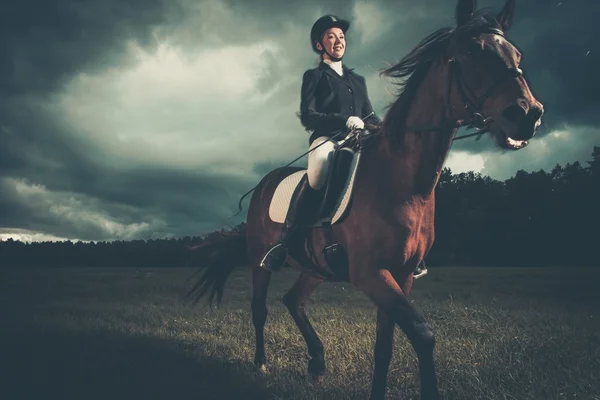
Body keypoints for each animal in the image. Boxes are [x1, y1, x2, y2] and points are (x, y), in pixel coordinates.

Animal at [186, 1, 544, 398]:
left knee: (293, 300)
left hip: (316, 266)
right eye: (470, 52)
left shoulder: (400, 274)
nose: (528, 114)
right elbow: (423, 334)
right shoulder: (372, 273)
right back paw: (262, 363)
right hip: (259, 260)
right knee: (260, 307)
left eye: (517, 55)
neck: (403, 181)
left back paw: (317, 362)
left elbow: (384, 346)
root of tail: (266, 182)